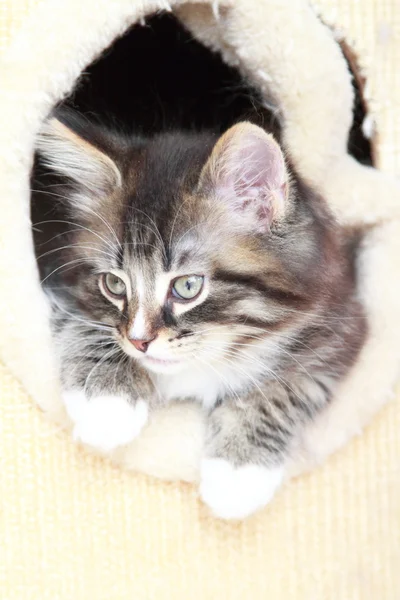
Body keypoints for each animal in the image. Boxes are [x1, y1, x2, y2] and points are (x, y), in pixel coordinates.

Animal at [32, 110, 368, 516]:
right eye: (114, 284)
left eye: (188, 287)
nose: (139, 342)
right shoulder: (55, 280)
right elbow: (88, 327)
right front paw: (107, 403)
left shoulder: (341, 324)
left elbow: (283, 387)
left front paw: (239, 473)